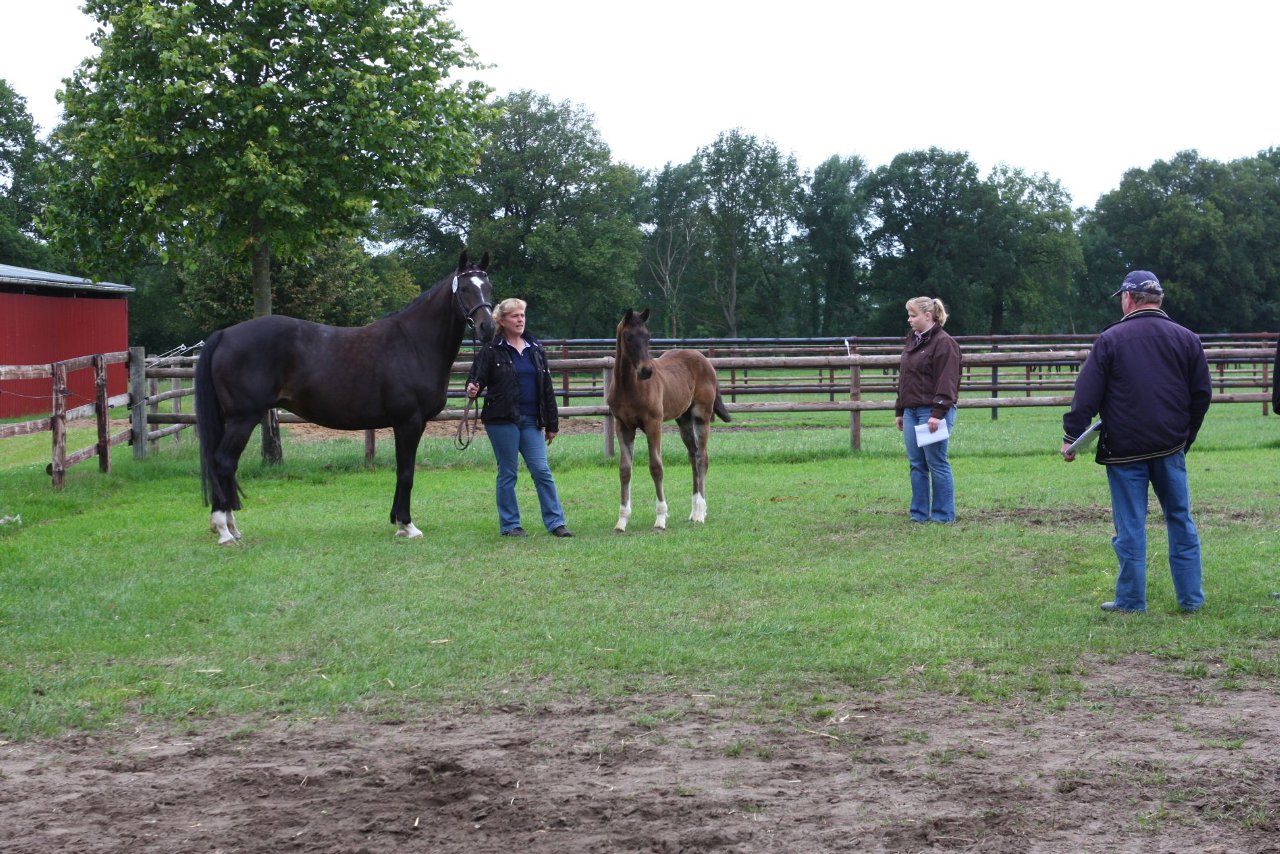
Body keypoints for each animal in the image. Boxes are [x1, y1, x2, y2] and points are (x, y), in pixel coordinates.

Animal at [194, 252, 494, 540]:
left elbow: (401, 471)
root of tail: (224, 334)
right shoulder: (408, 421)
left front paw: (397, 521)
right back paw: (223, 531)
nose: (487, 328)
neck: (413, 344)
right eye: (465, 288)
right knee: (223, 463)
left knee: (225, 466)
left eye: (488, 286)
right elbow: (407, 472)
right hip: (242, 418)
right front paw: (407, 526)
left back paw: (231, 527)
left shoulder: (411, 424)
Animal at [601, 307, 727, 535]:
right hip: (683, 420)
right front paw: (622, 521)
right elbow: (625, 470)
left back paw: (700, 513)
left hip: (701, 416)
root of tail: (704, 360)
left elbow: (656, 467)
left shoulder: (653, 424)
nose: (646, 371)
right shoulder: (622, 426)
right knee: (693, 456)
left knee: (702, 458)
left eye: (648, 336)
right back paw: (693, 512)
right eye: (628, 336)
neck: (629, 386)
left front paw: (660, 518)